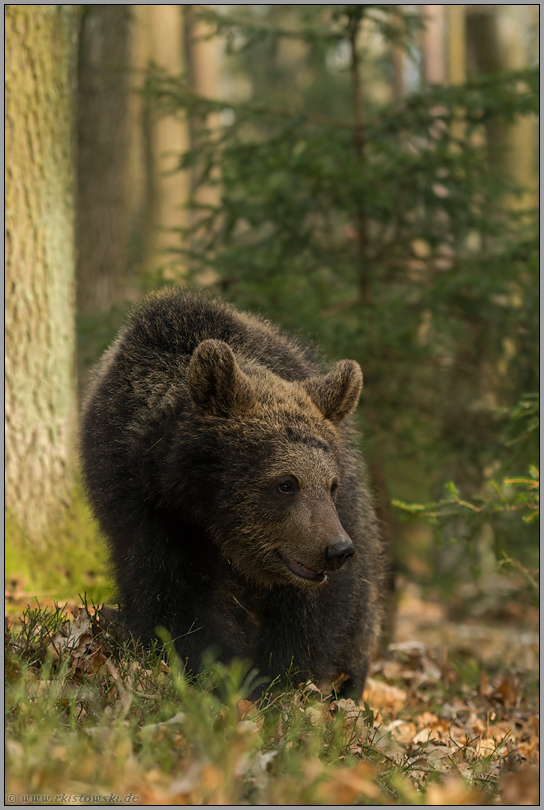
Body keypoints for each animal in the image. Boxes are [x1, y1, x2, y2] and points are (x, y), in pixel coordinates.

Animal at [80, 289, 382, 697]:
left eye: (331, 484)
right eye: (285, 483)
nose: (337, 550)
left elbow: (309, 614)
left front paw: (281, 681)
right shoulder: (145, 507)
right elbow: (173, 594)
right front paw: (212, 669)